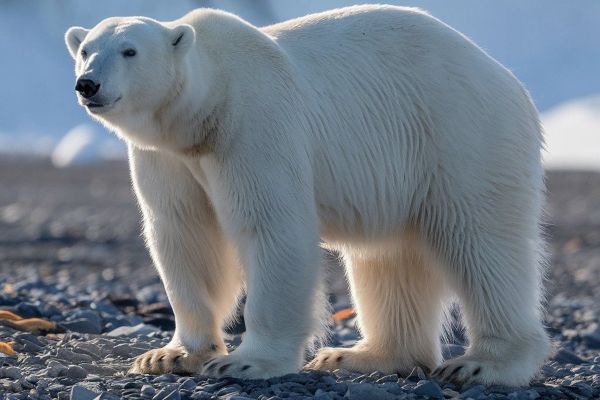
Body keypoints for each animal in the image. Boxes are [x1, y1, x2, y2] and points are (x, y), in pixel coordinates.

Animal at [65, 3, 548, 384]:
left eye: (129, 50)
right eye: (86, 50)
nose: (87, 84)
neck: (206, 110)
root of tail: (508, 80)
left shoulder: (255, 126)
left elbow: (272, 228)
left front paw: (244, 363)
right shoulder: (168, 157)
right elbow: (185, 235)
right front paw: (170, 355)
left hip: (461, 136)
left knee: (482, 244)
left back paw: (482, 363)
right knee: (389, 256)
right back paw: (360, 355)